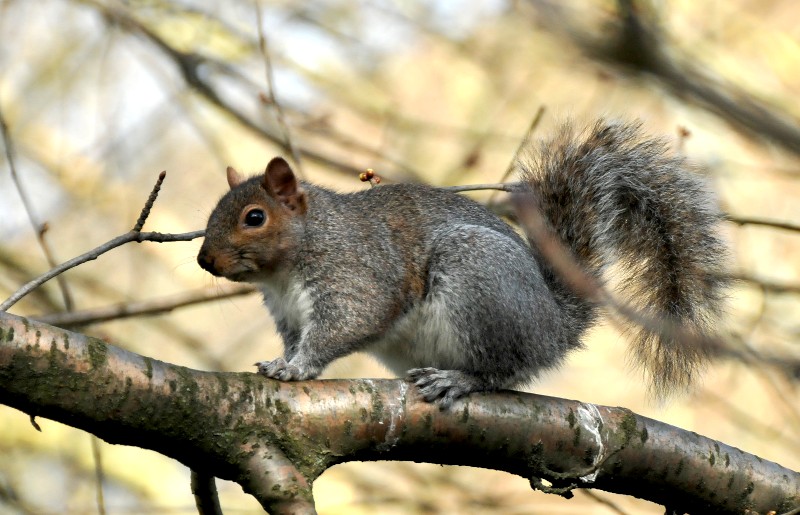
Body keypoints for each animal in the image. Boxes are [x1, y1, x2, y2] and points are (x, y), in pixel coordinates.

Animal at [197, 119, 727, 408]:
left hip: (477, 282)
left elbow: (346, 325)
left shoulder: (355, 275)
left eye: (254, 217)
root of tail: (553, 327)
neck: (285, 272)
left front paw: (300, 369)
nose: (204, 259)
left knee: (503, 370)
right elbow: (293, 339)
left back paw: (459, 379)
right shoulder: (287, 312)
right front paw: (281, 362)